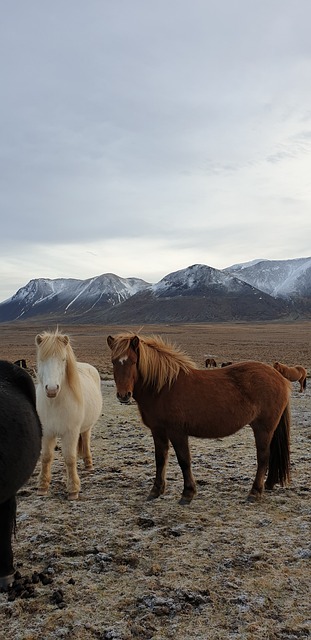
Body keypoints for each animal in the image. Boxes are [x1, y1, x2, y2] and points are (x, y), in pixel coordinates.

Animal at [35, 330, 103, 500]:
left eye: (63, 359)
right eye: (42, 359)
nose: (52, 389)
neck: (55, 403)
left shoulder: (70, 433)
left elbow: (70, 458)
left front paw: (73, 490)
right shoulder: (46, 432)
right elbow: (46, 457)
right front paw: (42, 486)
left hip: (86, 427)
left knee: (85, 439)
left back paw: (89, 465)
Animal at [108, 336, 292, 504]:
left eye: (133, 362)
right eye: (114, 362)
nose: (124, 395)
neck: (162, 388)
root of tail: (280, 377)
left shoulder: (177, 432)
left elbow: (184, 460)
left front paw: (188, 493)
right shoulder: (158, 430)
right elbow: (160, 459)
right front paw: (156, 490)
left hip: (263, 428)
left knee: (263, 457)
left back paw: (255, 492)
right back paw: (268, 484)